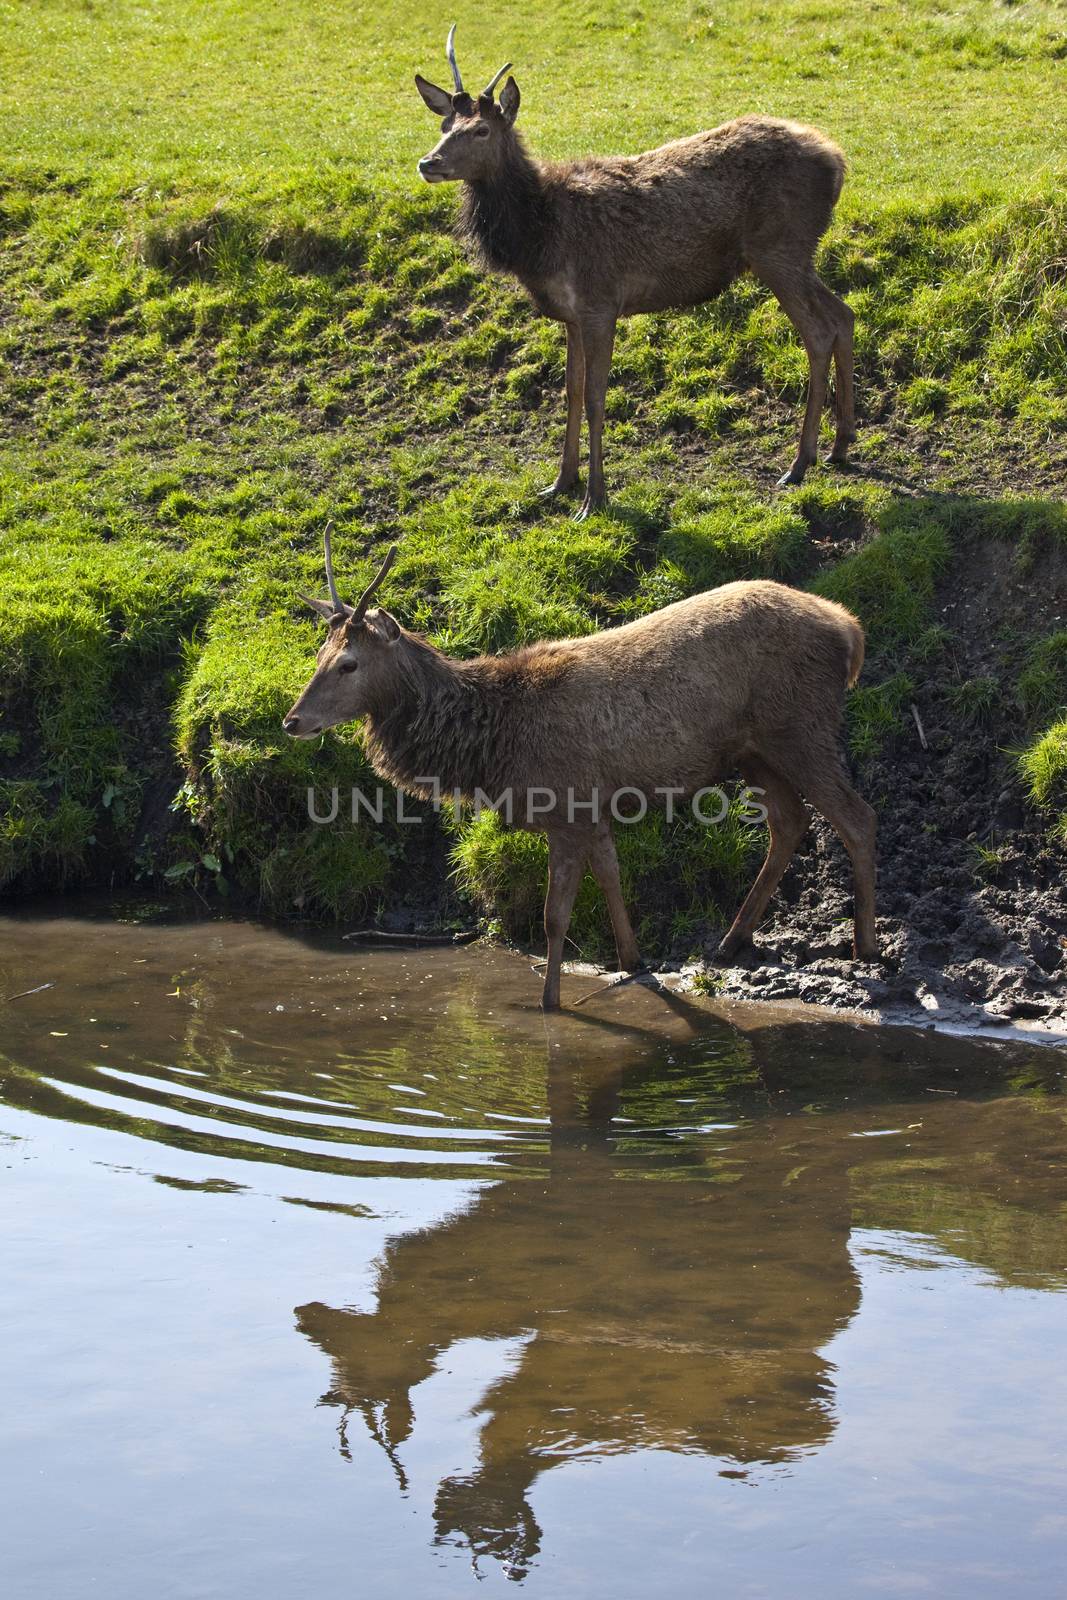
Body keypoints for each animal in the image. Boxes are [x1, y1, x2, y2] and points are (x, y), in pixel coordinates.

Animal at [281, 537, 876, 1011]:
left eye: (349, 664)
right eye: (318, 655)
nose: (292, 721)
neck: (494, 746)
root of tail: (849, 628)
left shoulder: (564, 808)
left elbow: (554, 916)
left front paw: (549, 1003)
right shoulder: (594, 806)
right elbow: (611, 875)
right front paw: (632, 961)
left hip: (801, 728)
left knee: (857, 817)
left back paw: (865, 947)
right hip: (754, 752)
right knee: (789, 822)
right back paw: (731, 942)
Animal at [412, 26, 857, 518]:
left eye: (482, 129)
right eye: (444, 126)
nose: (429, 163)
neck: (540, 238)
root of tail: (837, 161)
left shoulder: (600, 302)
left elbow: (595, 397)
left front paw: (594, 498)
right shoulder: (570, 315)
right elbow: (569, 393)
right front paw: (560, 483)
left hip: (779, 249)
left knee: (818, 332)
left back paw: (799, 463)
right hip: (798, 254)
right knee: (844, 314)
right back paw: (841, 445)